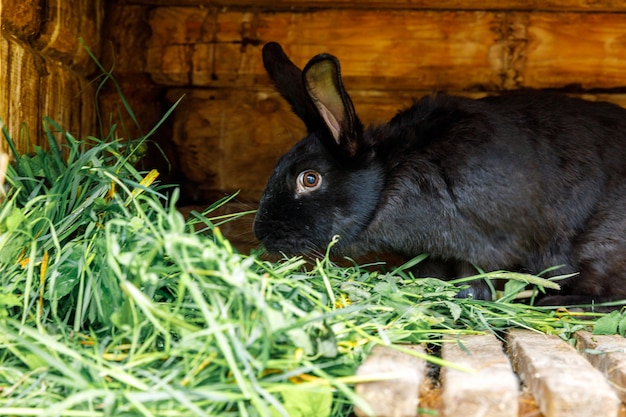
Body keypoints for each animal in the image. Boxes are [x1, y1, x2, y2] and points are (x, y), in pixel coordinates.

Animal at [252, 41, 624, 302]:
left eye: (309, 179)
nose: (261, 234)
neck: (390, 178)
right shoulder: (429, 252)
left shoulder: (482, 244)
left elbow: (477, 277)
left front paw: (467, 297)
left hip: (596, 250)